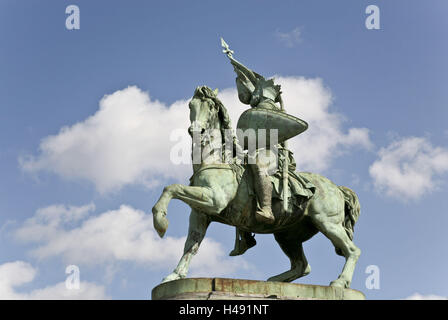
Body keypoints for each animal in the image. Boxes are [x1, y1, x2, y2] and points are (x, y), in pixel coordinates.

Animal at [152, 85, 362, 288]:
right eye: (190, 105)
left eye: (210, 106)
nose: (197, 131)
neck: (215, 160)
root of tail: (337, 189)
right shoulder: (200, 213)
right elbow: (191, 244)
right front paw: (175, 275)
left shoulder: (214, 200)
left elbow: (172, 188)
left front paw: (160, 223)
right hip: (288, 235)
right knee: (302, 266)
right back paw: (273, 281)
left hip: (327, 223)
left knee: (352, 250)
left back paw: (340, 282)